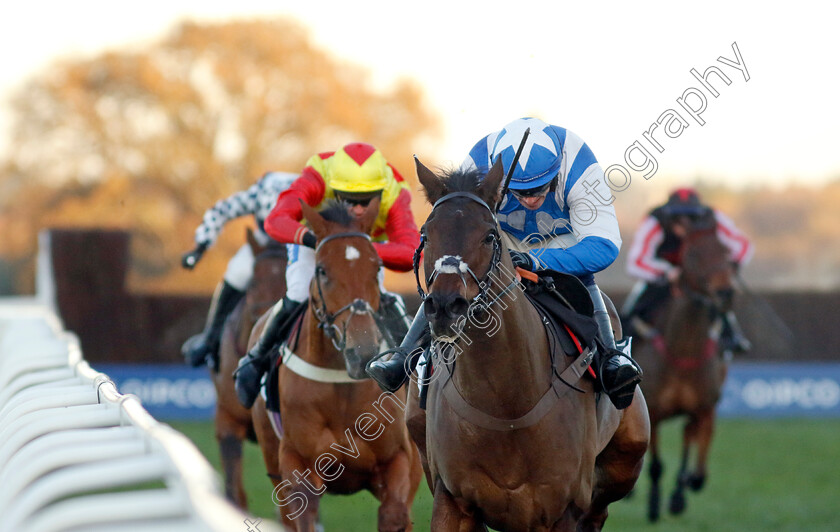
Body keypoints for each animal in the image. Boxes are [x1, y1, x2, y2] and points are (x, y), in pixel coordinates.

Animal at [248, 201, 420, 532]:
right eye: (323, 270)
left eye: (376, 268)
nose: (362, 352)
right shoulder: (296, 464)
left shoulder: (399, 460)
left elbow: (394, 514)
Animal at [406, 159, 648, 532]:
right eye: (426, 235)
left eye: (489, 236)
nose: (445, 306)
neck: (506, 405)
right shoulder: (452, 499)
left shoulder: (564, 507)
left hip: (626, 460)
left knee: (600, 508)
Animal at [628, 222, 740, 520]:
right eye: (693, 254)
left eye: (725, 251)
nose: (726, 293)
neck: (683, 350)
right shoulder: (654, 412)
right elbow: (656, 465)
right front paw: (654, 505)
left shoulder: (703, 409)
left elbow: (697, 470)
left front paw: (680, 494)